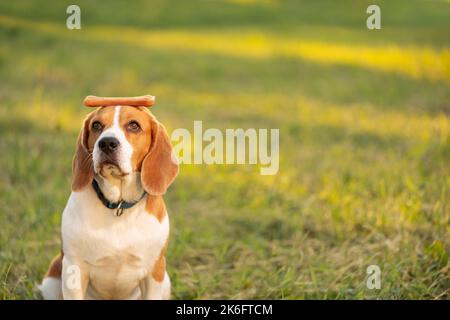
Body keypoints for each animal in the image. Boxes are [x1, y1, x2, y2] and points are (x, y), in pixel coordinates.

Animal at [39, 95, 179, 300]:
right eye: (96, 125)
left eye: (134, 125)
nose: (106, 143)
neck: (118, 205)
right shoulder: (74, 269)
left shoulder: (155, 271)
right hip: (52, 280)